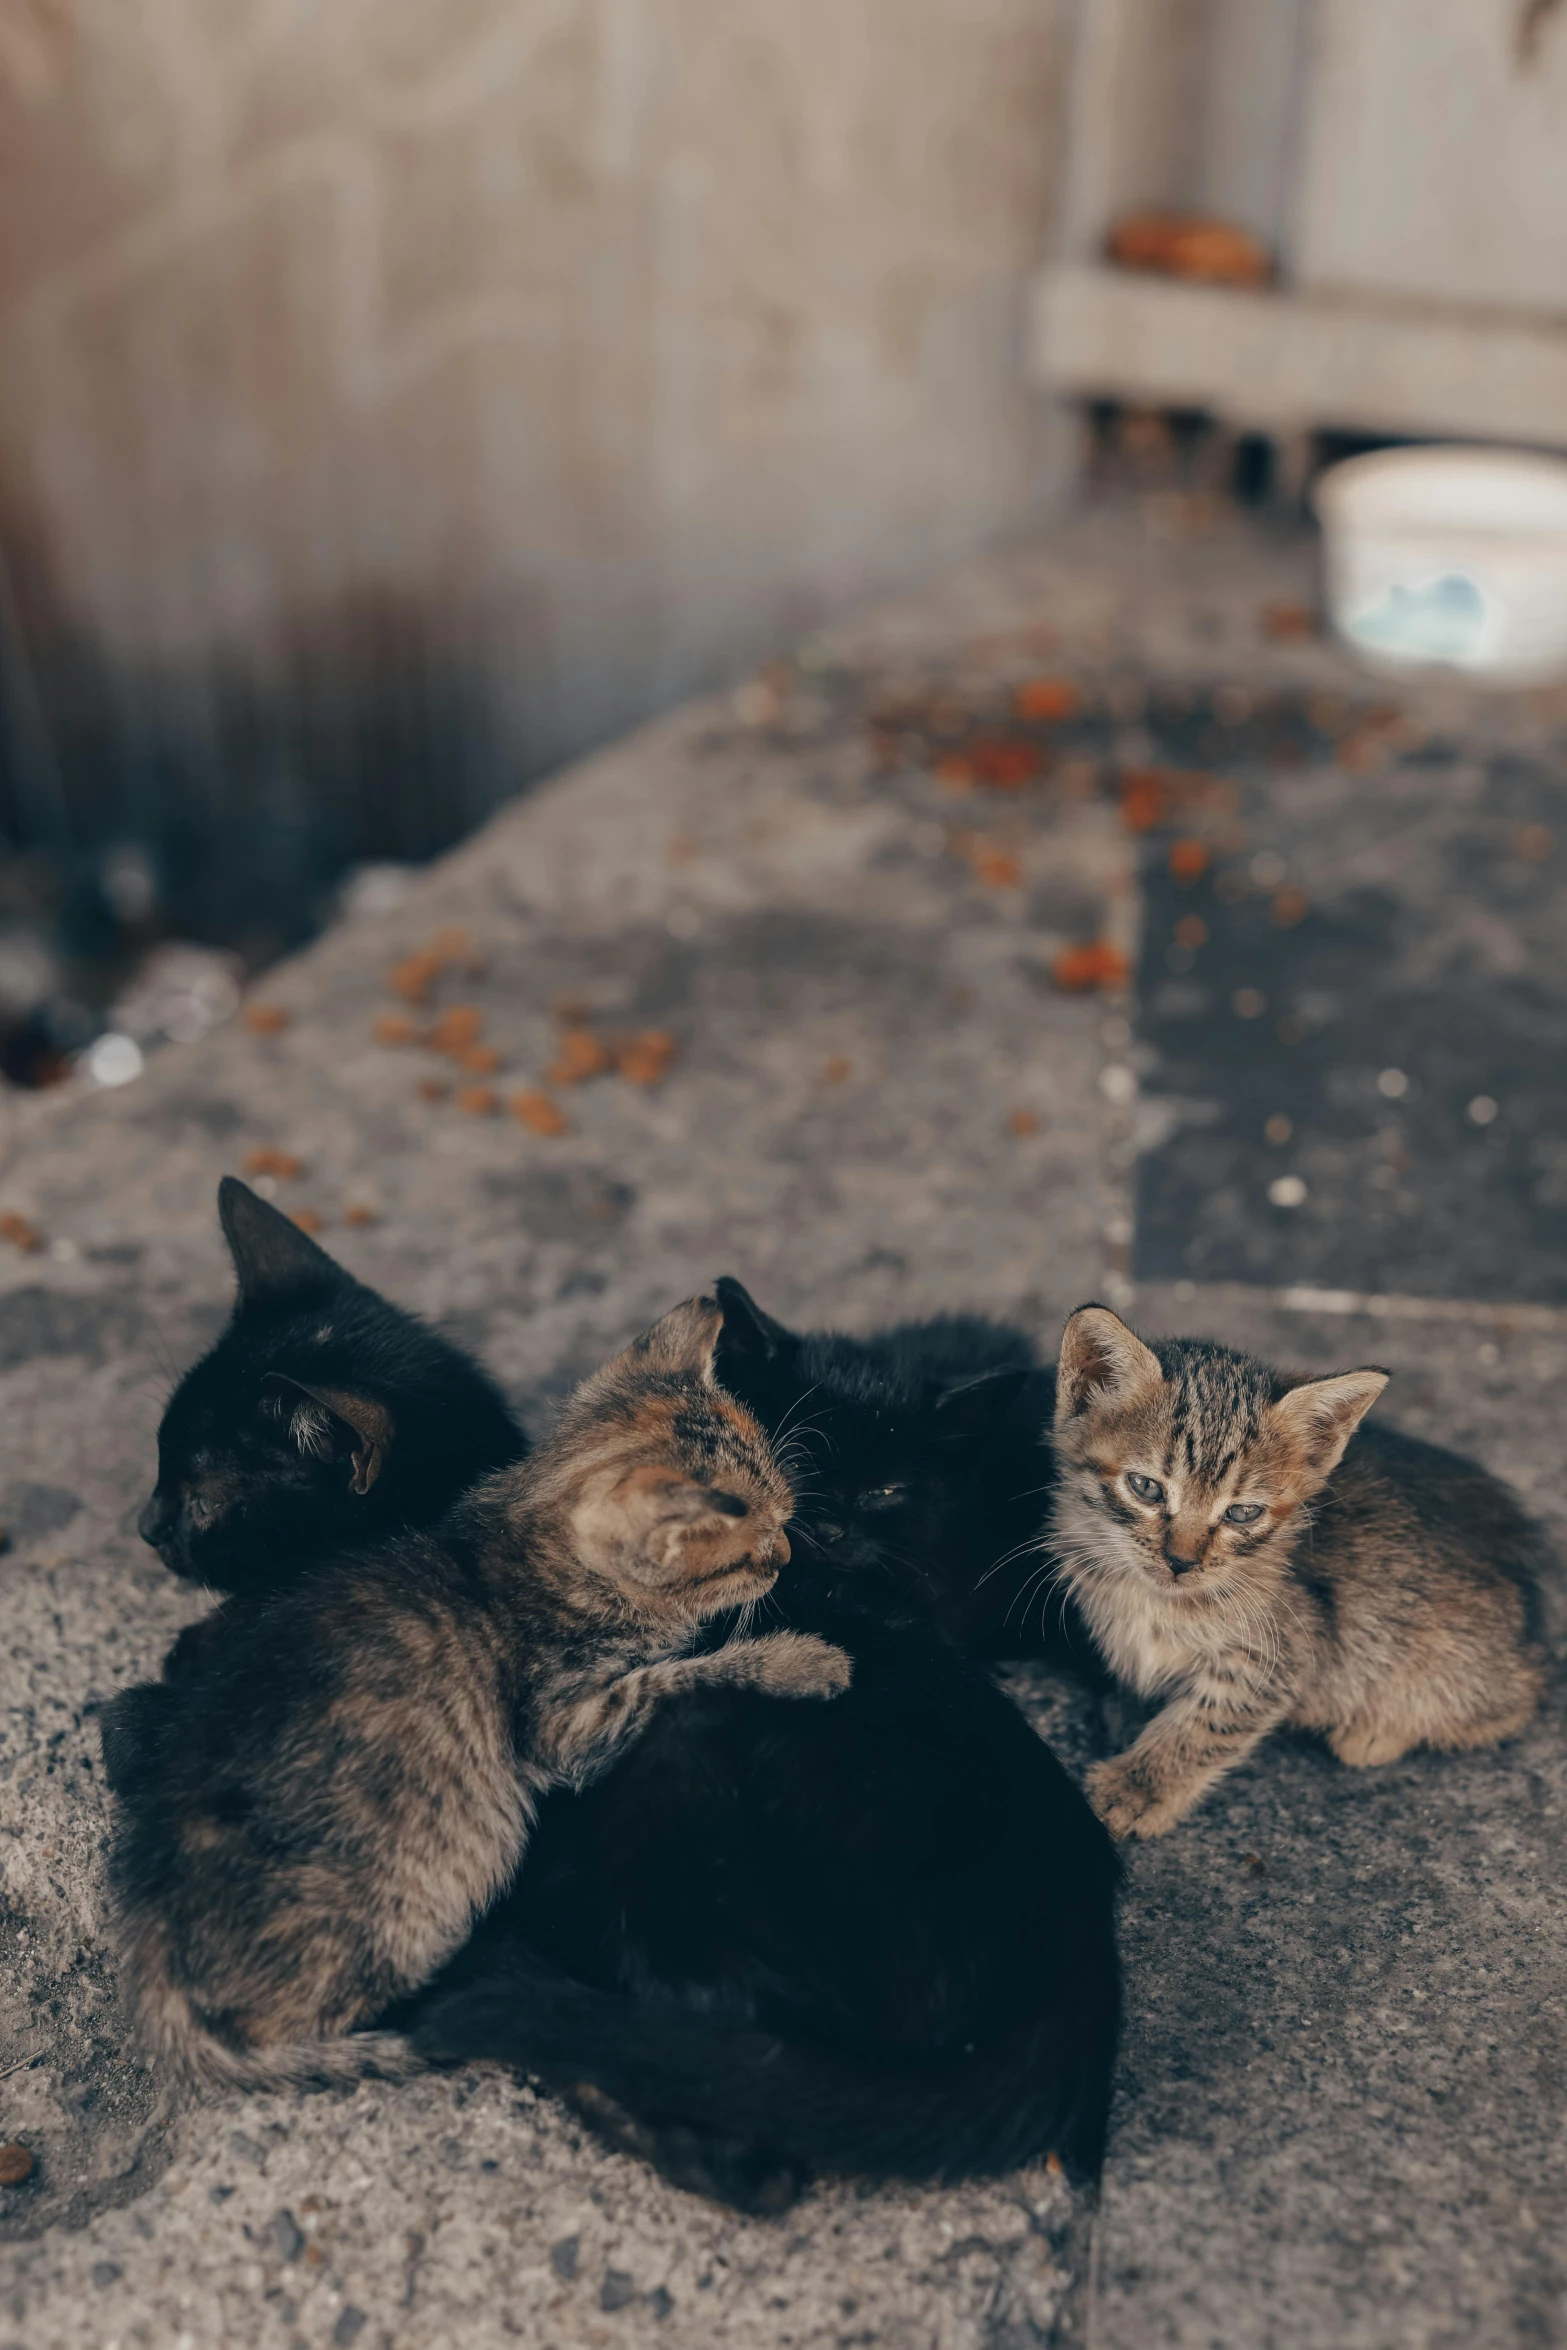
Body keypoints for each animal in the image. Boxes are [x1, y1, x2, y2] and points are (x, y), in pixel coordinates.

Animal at [111, 1306, 850, 2096]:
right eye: (754, 1547)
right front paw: (804, 1659)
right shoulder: (562, 1721)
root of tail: (152, 1960)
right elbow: (683, 1677)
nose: (787, 1556)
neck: (520, 1534)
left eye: (787, 1518)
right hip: (421, 1888)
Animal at [1047, 1306, 1550, 1832]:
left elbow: (1205, 1724)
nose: (1181, 1562)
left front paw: (1138, 1785)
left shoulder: (1285, 1650)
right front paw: (1128, 1710)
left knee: (1521, 1695)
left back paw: (1375, 1733)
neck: (1151, 1597)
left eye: (1242, 1513)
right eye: (1146, 1487)